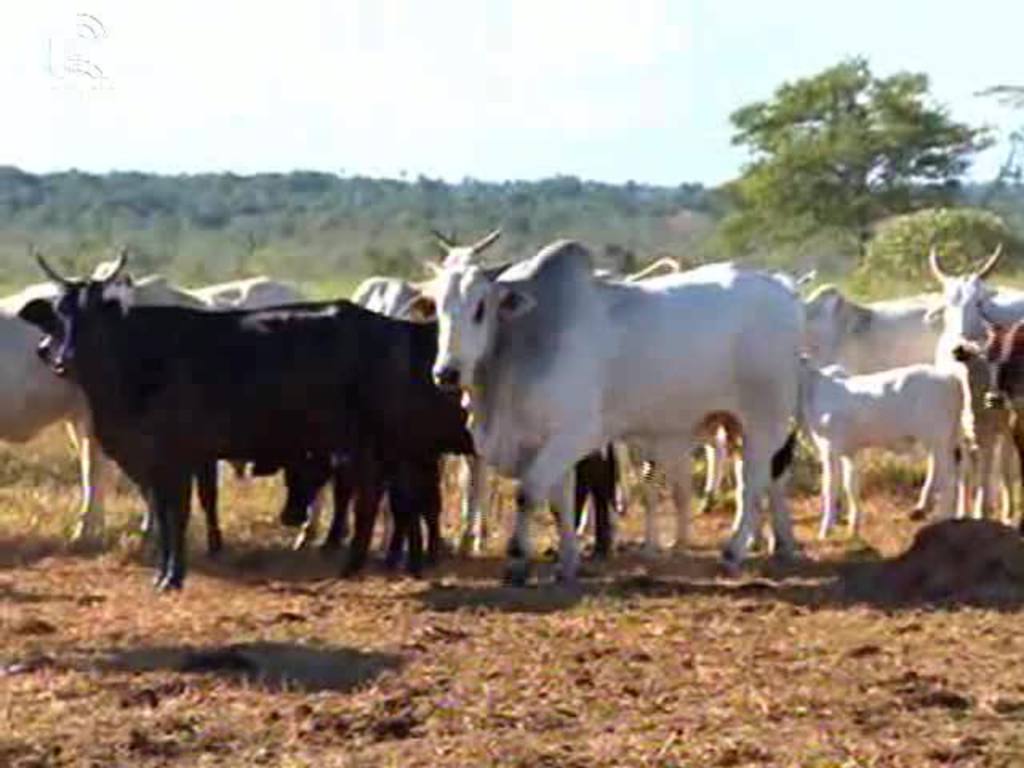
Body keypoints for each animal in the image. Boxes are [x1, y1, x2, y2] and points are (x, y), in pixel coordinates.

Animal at [419, 240, 802, 581]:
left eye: (480, 307)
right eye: (437, 306)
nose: (446, 372)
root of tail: (784, 289)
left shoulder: (573, 435)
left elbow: (530, 493)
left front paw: (517, 561)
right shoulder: (548, 440)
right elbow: (561, 502)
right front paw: (567, 562)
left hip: (765, 420)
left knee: (753, 483)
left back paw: (734, 552)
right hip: (732, 423)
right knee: (758, 480)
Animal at [794, 362, 962, 536]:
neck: (814, 386)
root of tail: (951, 379)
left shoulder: (830, 450)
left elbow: (830, 488)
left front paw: (825, 530)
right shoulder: (850, 451)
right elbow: (851, 485)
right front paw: (853, 525)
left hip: (939, 438)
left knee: (949, 481)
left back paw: (944, 518)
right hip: (944, 440)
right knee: (942, 470)